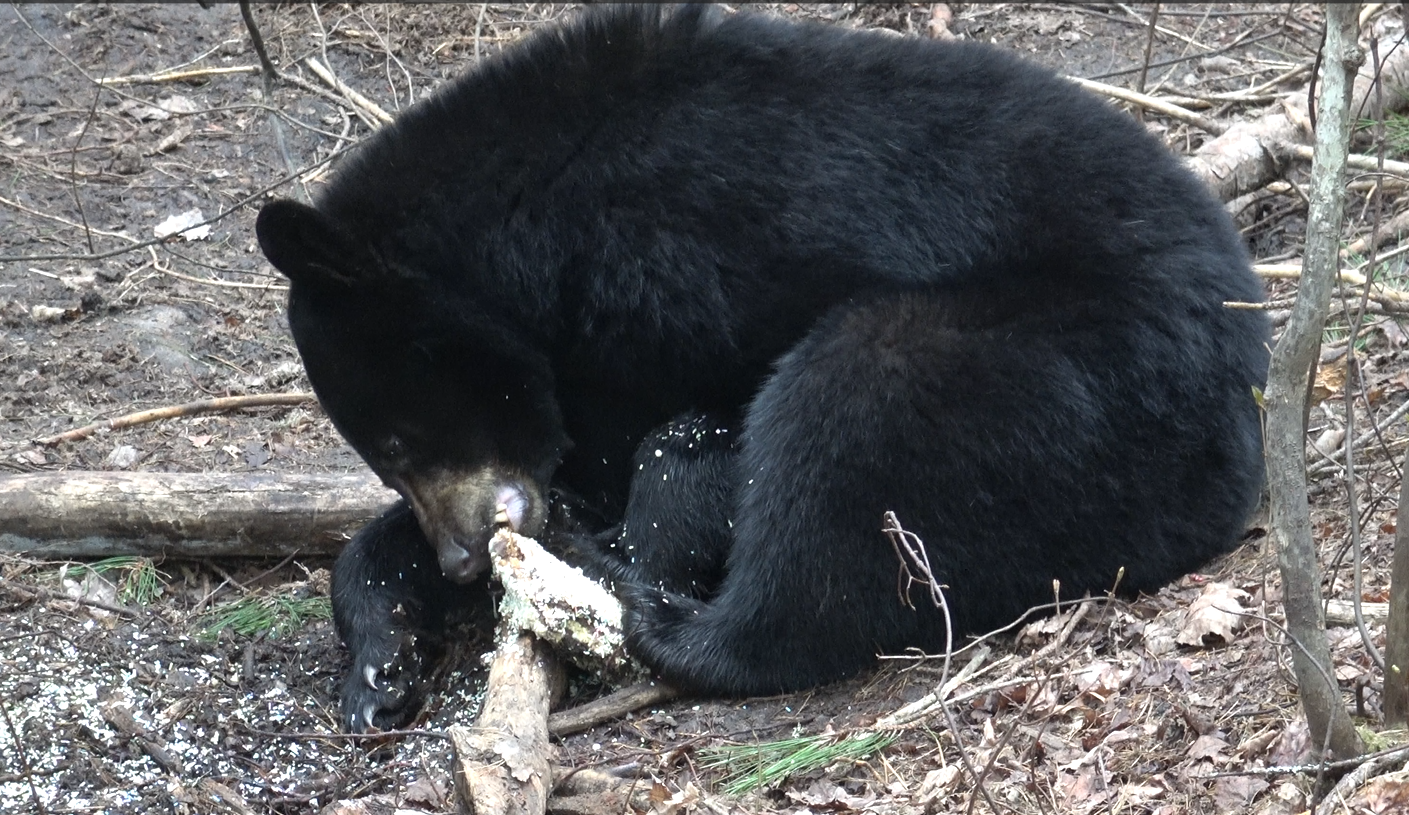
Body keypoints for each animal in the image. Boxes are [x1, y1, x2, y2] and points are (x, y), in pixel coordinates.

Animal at [255, 4, 1270, 733]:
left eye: (396, 437)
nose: (463, 560)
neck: (538, 241)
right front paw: (380, 663)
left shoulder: (670, 279)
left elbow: (661, 451)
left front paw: (611, 543)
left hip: (1072, 373)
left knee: (846, 432)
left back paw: (654, 609)